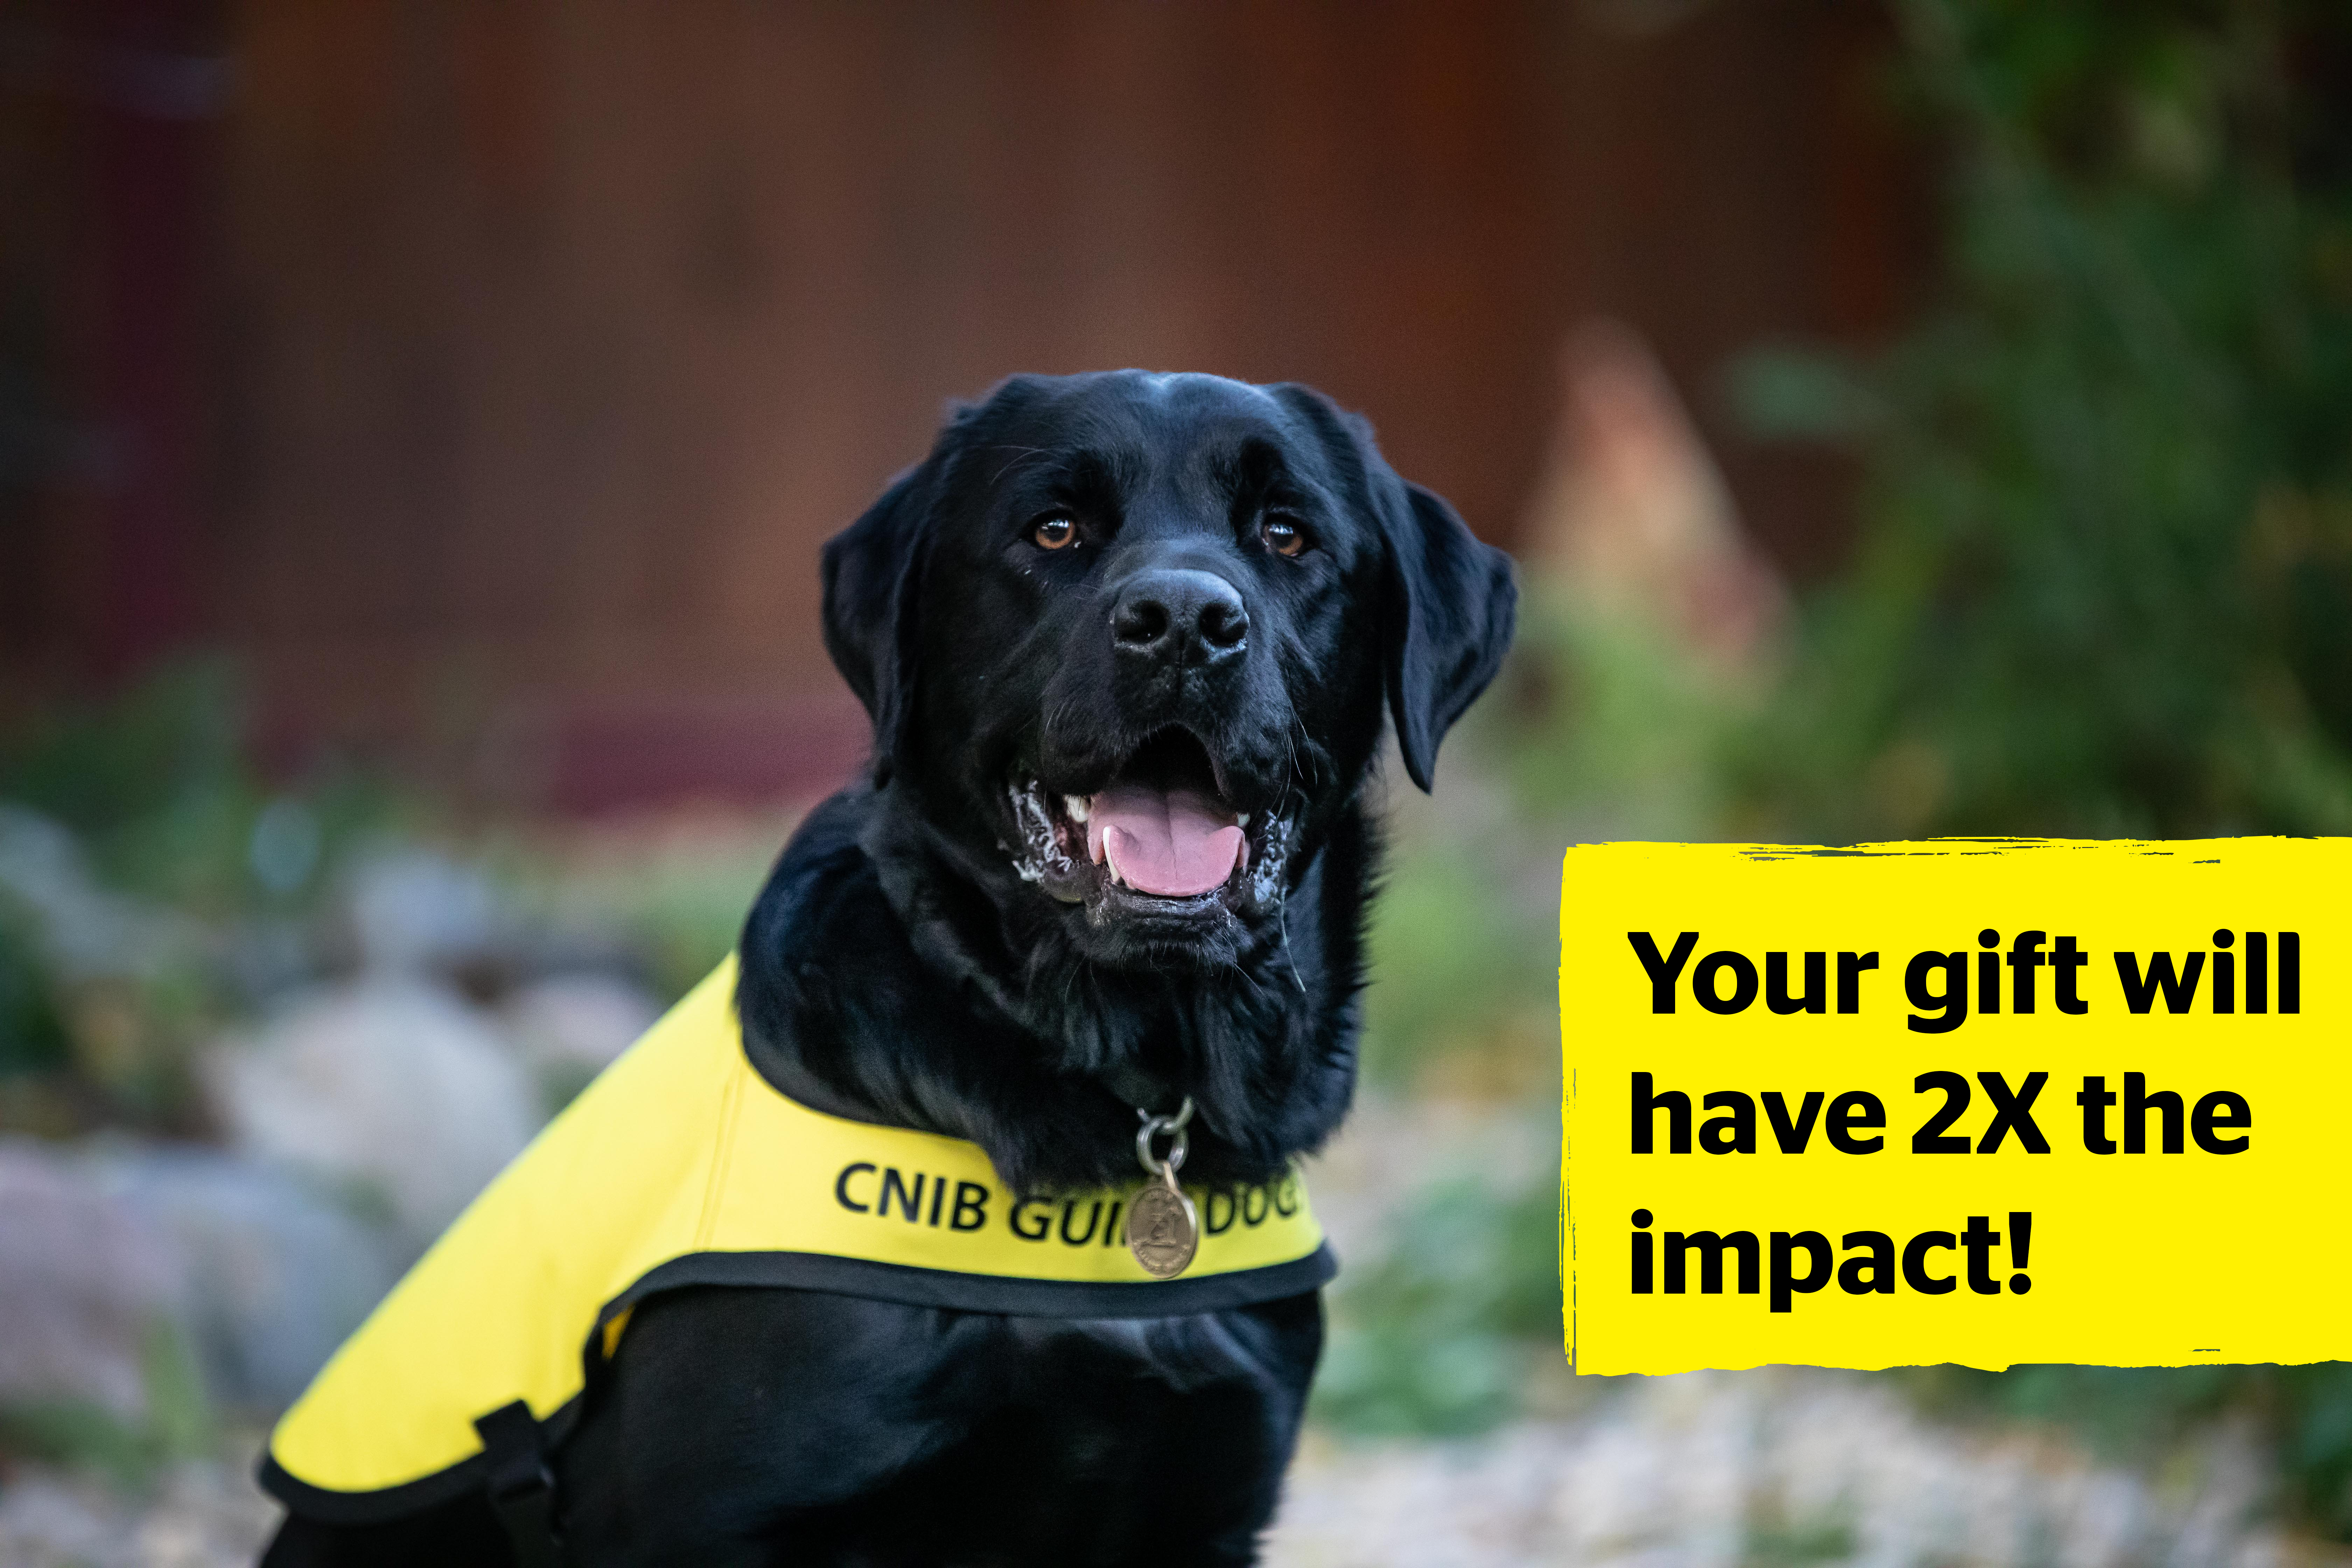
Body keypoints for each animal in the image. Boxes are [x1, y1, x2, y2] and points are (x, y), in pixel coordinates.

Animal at [253, 373, 1505, 1568]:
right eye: (1053, 530)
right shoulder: (721, 1519)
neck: (1130, 1083)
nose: (1186, 622)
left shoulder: (1206, 1507)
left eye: (1288, 535)